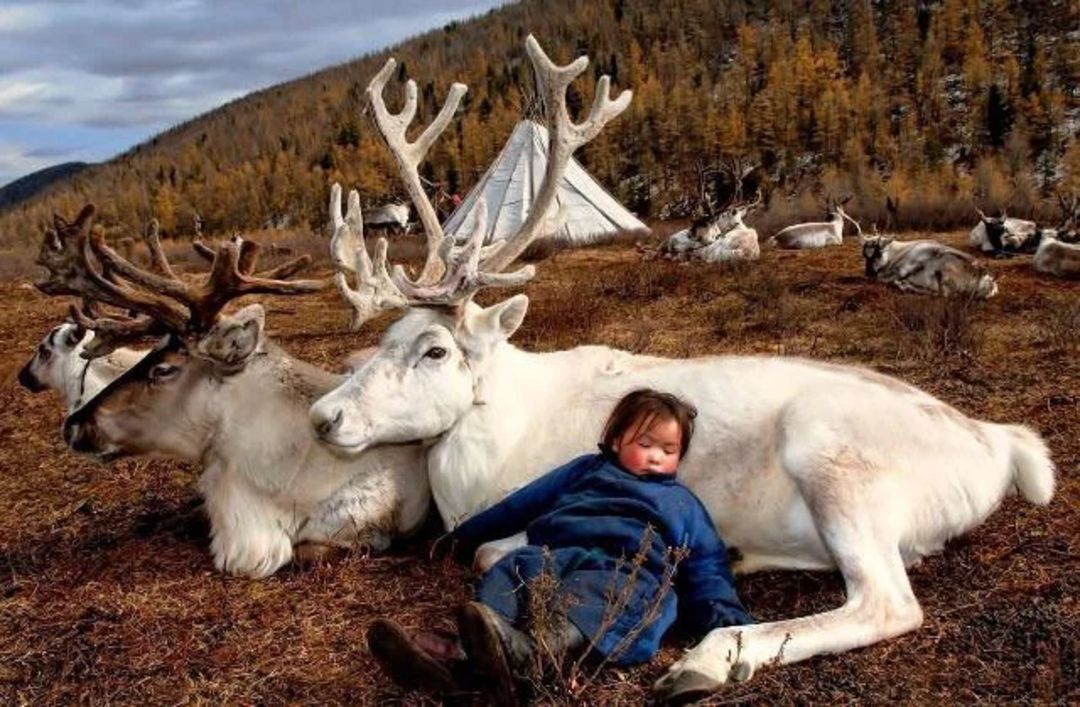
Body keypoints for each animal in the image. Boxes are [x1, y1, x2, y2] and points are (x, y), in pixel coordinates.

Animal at [305, 36, 1056, 704]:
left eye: (434, 349)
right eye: (383, 339)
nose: (323, 416)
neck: (489, 446)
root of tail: (999, 444)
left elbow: (493, 551)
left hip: (834, 461)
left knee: (888, 601)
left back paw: (708, 659)